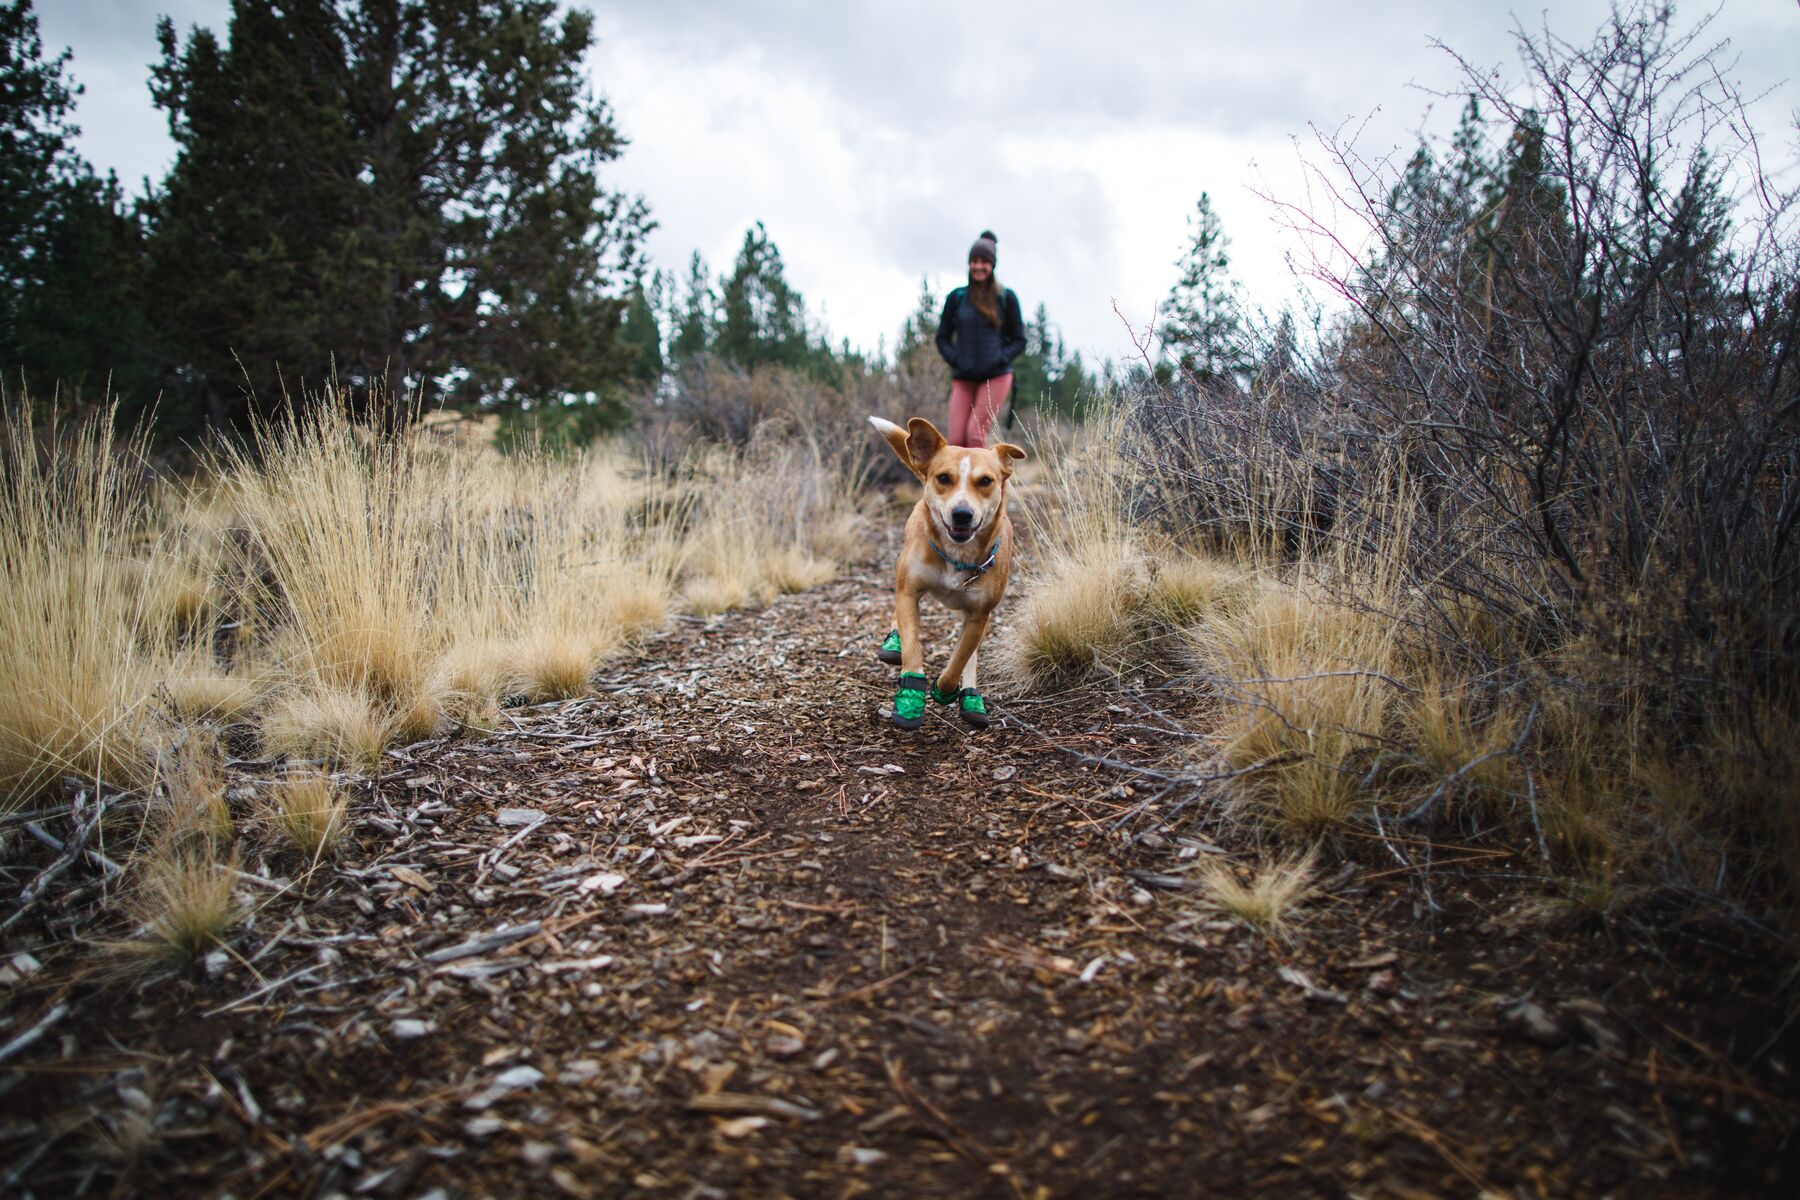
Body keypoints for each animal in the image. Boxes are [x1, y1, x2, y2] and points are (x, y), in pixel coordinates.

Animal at [871, 413, 1029, 734]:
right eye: (943, 478)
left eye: (985, 481)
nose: (962, 514)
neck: (957, 556)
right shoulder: (909, 591)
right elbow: (912, 648)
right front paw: (910, 699)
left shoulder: (979, 615)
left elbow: (960, 660)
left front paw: (946, 689)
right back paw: (893, 643)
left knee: (969, 655)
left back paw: (971, 698)